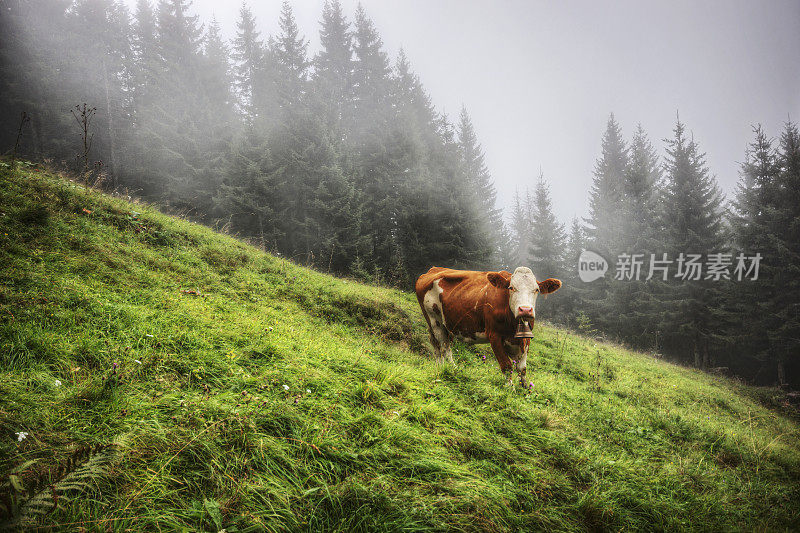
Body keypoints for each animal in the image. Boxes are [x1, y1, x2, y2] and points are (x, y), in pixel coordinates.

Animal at [412, 268, 564, 384]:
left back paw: (439, 366)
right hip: (434, 319)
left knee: (437, 345)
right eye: (511, 288)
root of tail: (433, 269)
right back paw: (452, 369)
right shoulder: (494, 336)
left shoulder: (525, 339)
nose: (525, 310)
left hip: (445, 324)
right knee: (444, 346)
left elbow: (522, 368)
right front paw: (510, 390)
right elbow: (506, 366)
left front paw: (525, 392)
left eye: (536, 289)